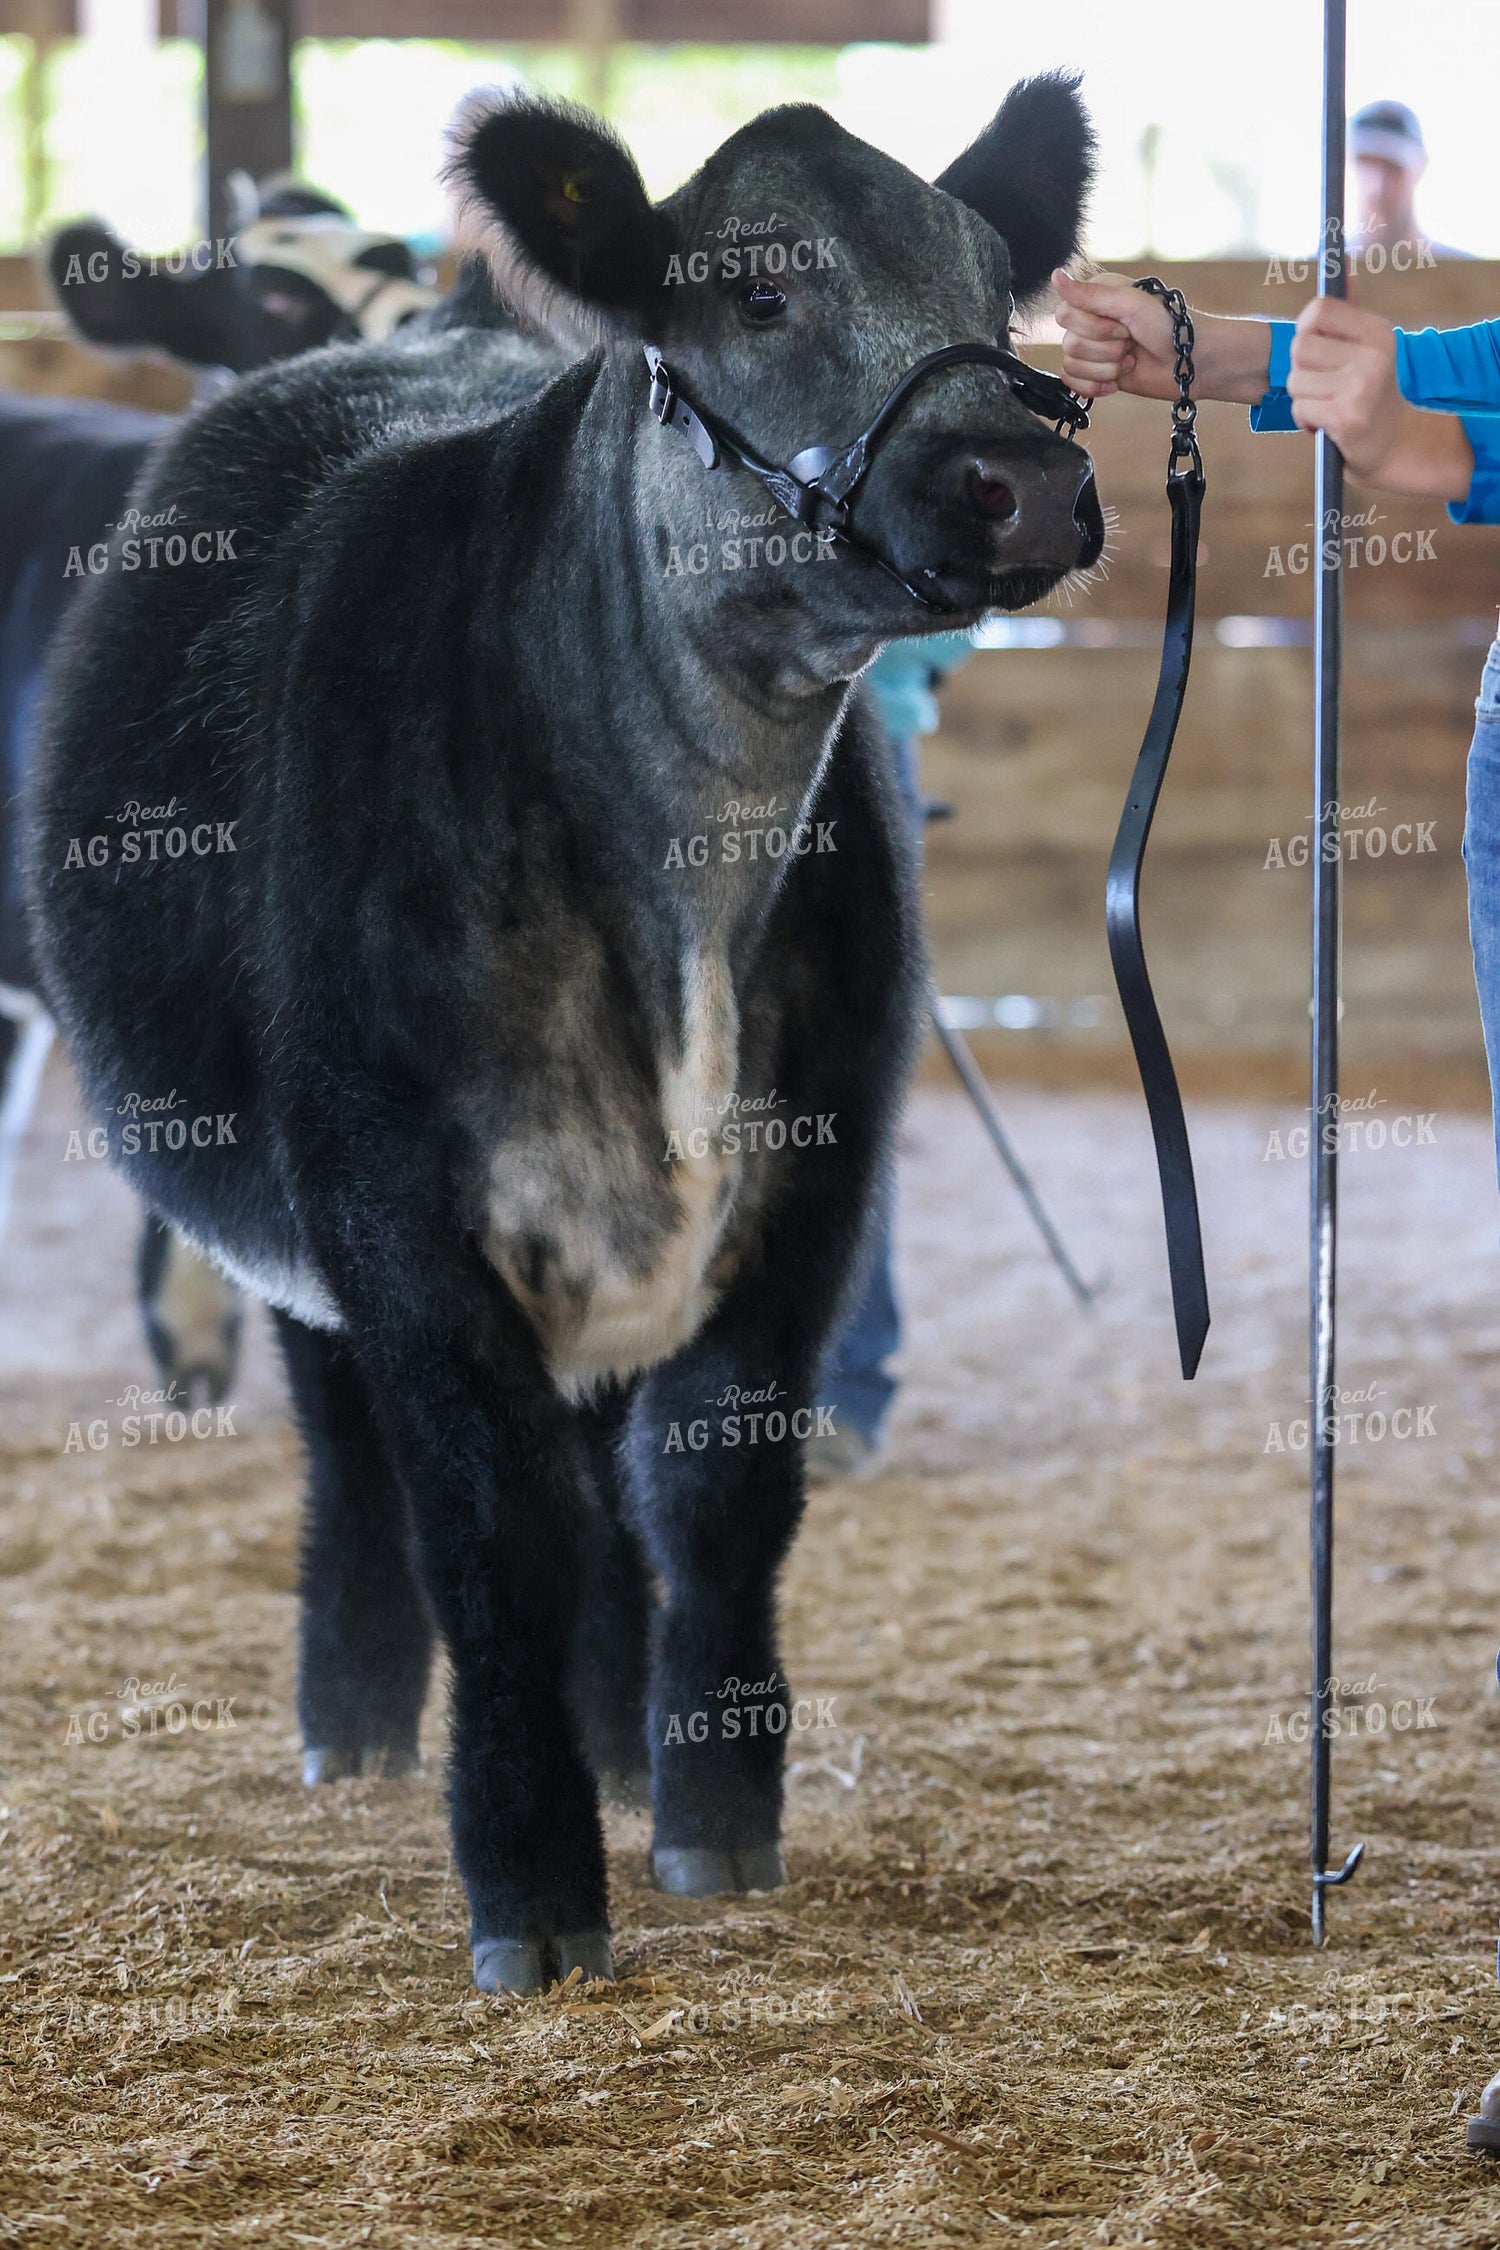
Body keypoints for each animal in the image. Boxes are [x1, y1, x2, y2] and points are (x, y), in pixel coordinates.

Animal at [27, 76, 1102, 1993]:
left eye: (1000, 288)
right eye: (758, 292)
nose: (1026, 476)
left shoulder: (817, 1182)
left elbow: (714, 1493)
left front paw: (710, 1817)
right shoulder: (394, 1206)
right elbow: (490, 1529)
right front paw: (530, 1885)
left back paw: (615, 1735)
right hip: (294, 1218)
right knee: (354, 1453)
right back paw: (357, 1716)